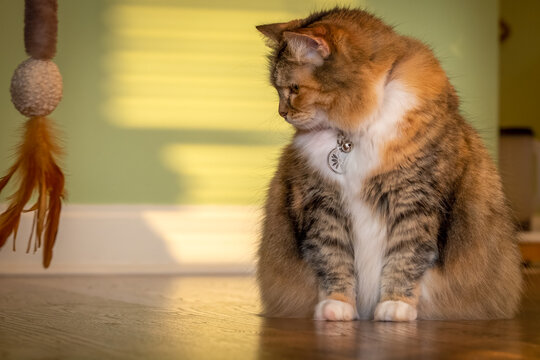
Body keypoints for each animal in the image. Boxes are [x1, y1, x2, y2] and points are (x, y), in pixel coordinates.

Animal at [256, 7, 524, 320]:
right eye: (278, 90)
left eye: (294, 88)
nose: (282, 112)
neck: (354, 133)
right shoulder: (323, 203)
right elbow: (333, 259)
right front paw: (337, 306)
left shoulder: (415, 201)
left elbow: (405, 259)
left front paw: (395, 306)